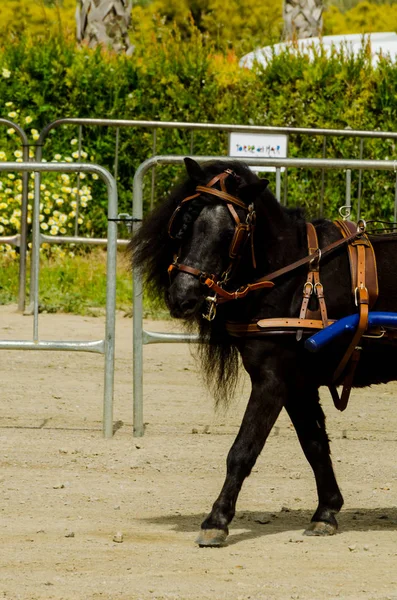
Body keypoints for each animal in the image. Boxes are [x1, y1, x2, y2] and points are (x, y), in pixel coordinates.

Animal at [131, 157, 396, 548]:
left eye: (232, 232)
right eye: (185, 221)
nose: (182, 296)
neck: (295, 276)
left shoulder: (272, 381)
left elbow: (242, 450)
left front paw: (217, 520)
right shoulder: (297, 385)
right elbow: (314, 445)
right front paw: (326, 511)